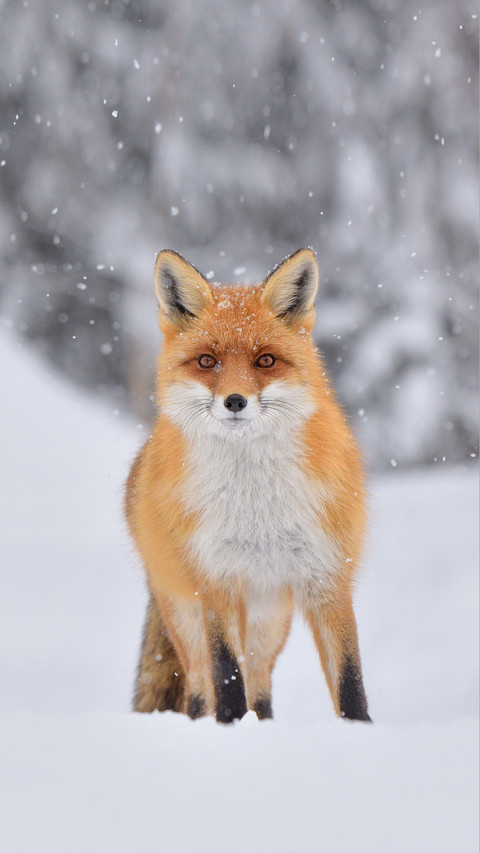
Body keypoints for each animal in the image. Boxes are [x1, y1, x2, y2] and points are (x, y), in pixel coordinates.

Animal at [125, 248, 371, 723]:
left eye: (265, 361)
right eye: (207, 361)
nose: (235, 401)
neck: (257, 506)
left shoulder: (329, 577)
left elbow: (350, 682)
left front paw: (361, 731)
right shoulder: (216, 580)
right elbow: (226, 678)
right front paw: (232, 731)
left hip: (268, 621)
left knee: (260, 684)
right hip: (186, 614)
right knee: (200, 688)